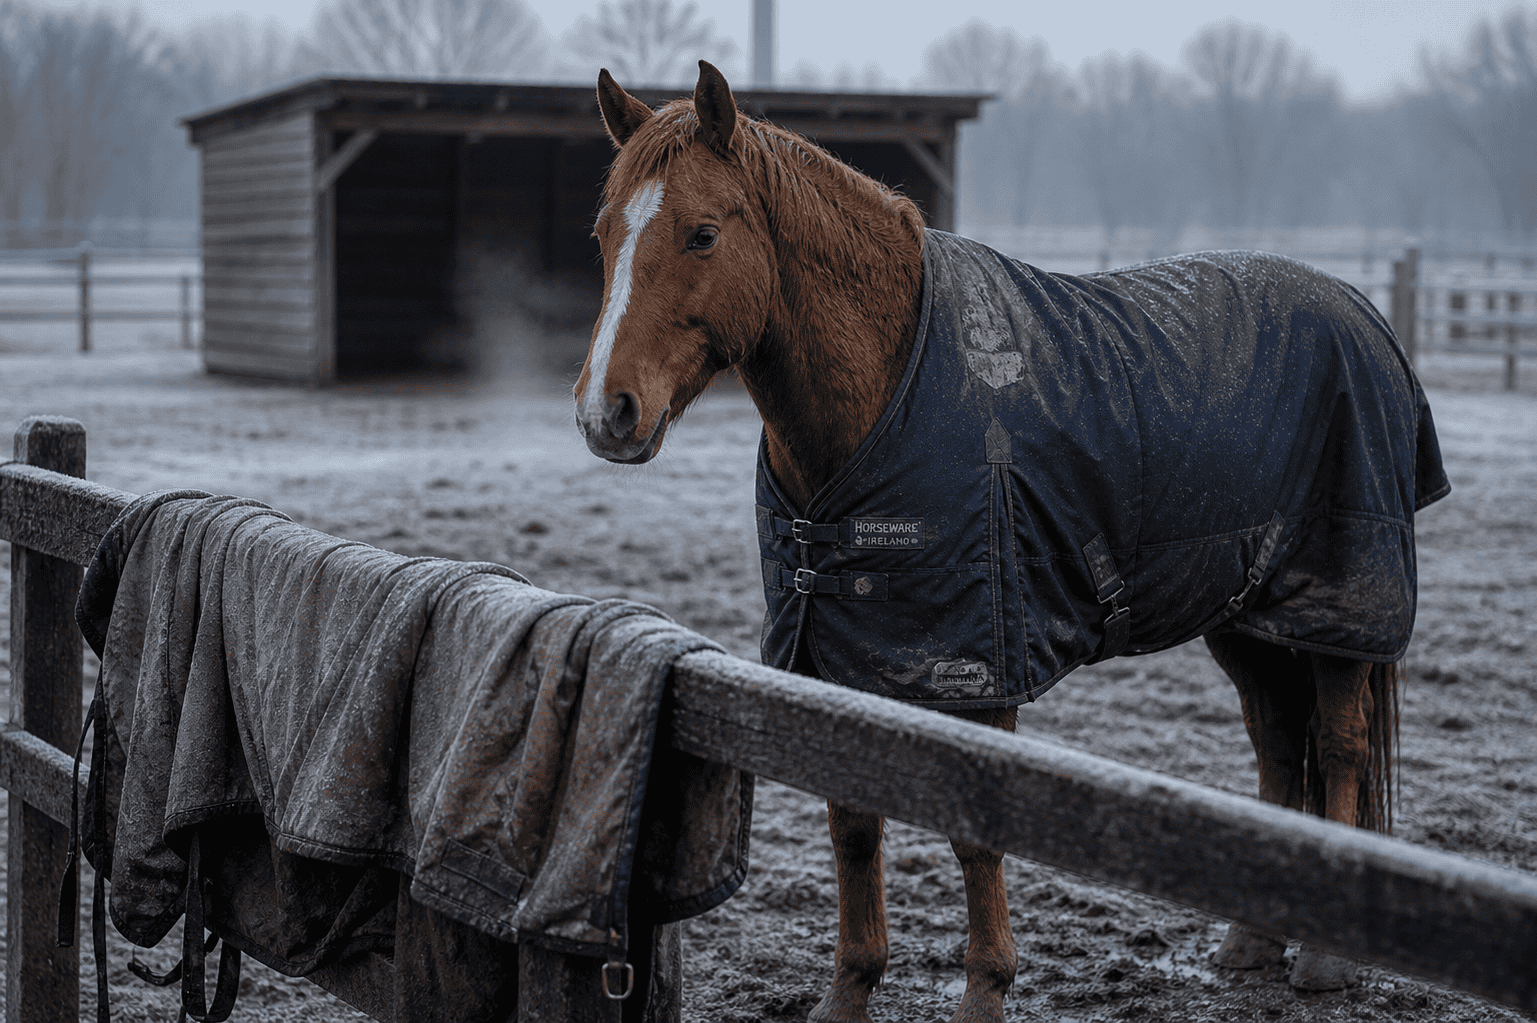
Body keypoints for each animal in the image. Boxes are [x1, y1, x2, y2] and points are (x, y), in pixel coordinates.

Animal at [572, 60, 1448, 1023]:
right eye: (604, 234)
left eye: (700, 234)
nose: (606, 411)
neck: (894, 385)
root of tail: (1359, 311)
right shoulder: (837, 658)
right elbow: (852, 824)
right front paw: (849, 990)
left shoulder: (981, 661)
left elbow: (975, 834)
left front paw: (985, 991)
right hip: (1246, 613)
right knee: (1275, 738)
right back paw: (1251, 942)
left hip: (1338, 611)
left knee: (1337, 741)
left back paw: (1323, 956)